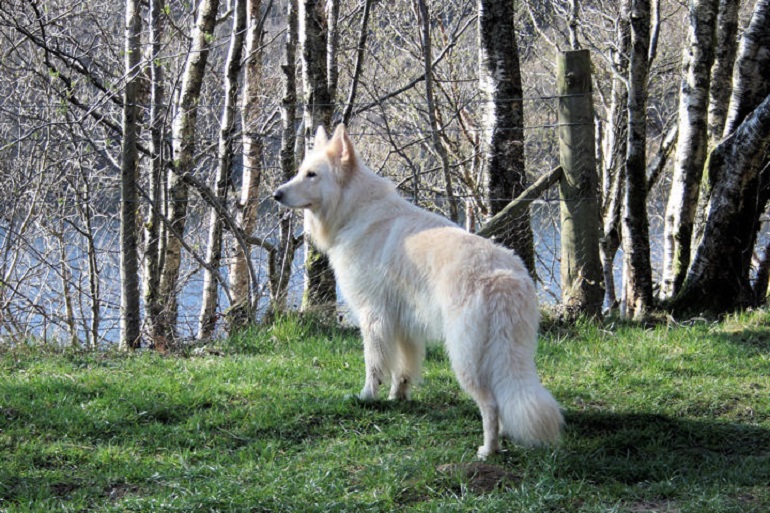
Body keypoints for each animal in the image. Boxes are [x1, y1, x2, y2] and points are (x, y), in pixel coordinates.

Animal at [272, 124, 560, 456]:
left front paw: (367, 397)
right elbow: (404, 368)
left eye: (312, 175)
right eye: (300, 172)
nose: (276, 194)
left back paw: (489, 450)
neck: (355, 210)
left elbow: (374, 365)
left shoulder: (374, 318)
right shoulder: (405, 324)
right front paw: (397, 397)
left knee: (490, 404)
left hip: (465, 359)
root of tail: (503, 277)